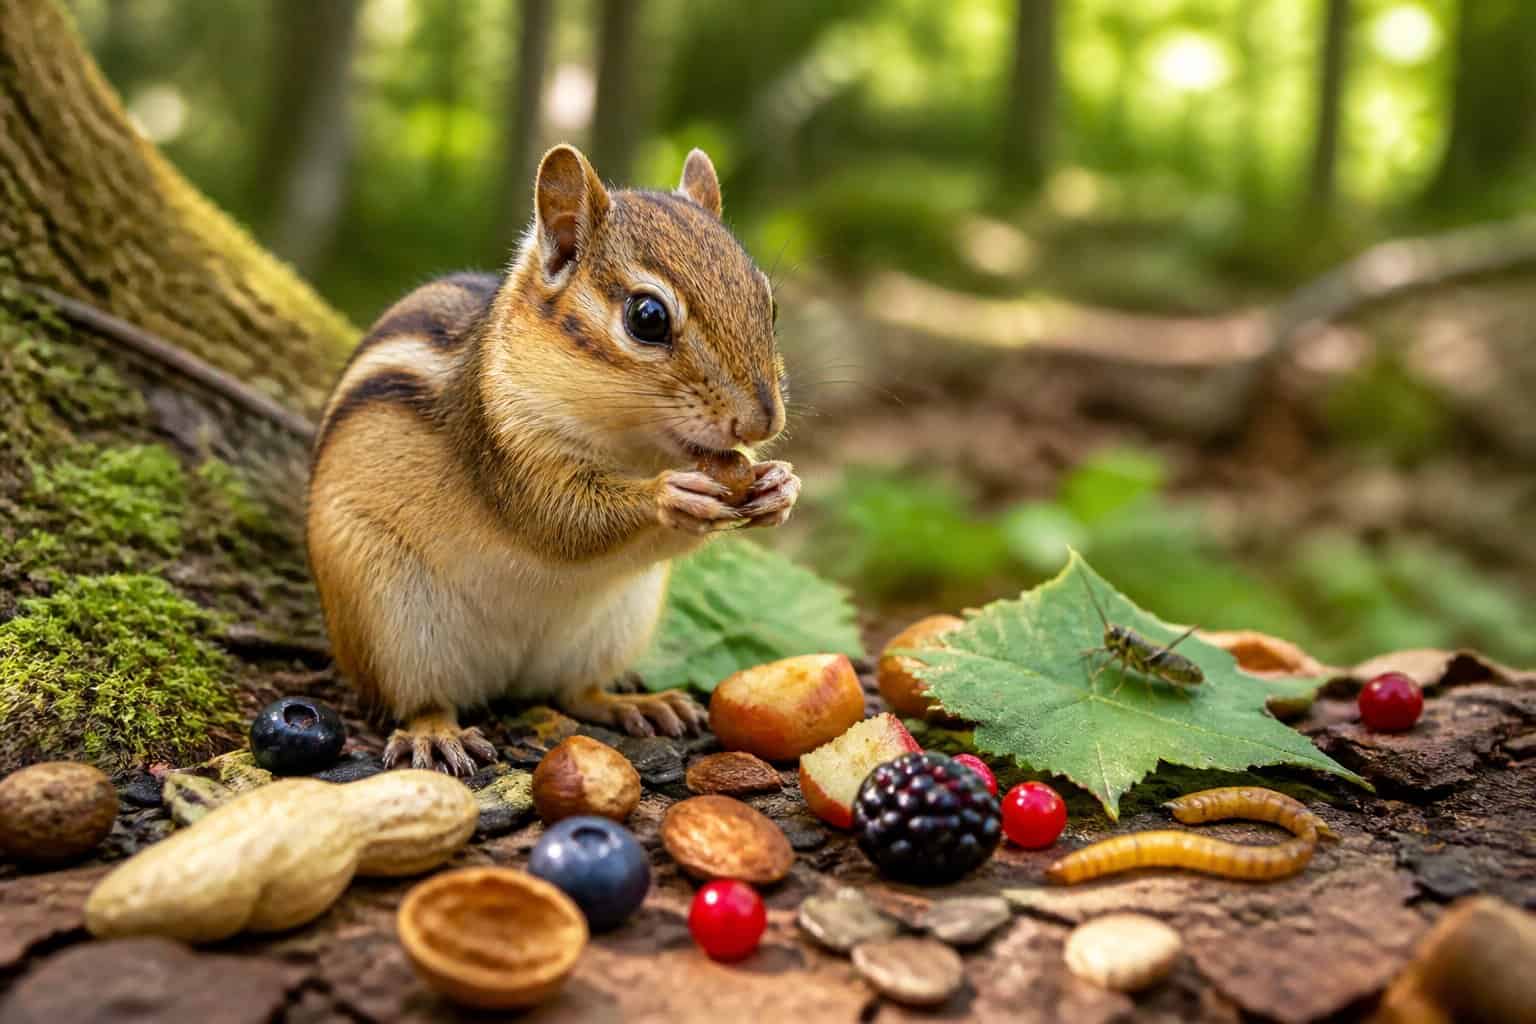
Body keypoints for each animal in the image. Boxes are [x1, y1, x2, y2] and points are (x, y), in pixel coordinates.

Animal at [305, 145, 799, 774]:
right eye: (647, 317)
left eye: (770, 304)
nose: (763, 422)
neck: (632, 446)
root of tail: (510, 677)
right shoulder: (505, 452)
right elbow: (560, 519)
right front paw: (670, 494)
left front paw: (780, 486)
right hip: (392, 625)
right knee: (420, 699)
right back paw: (434, 733)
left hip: (615, 624)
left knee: (574, 691)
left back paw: (635, 703)